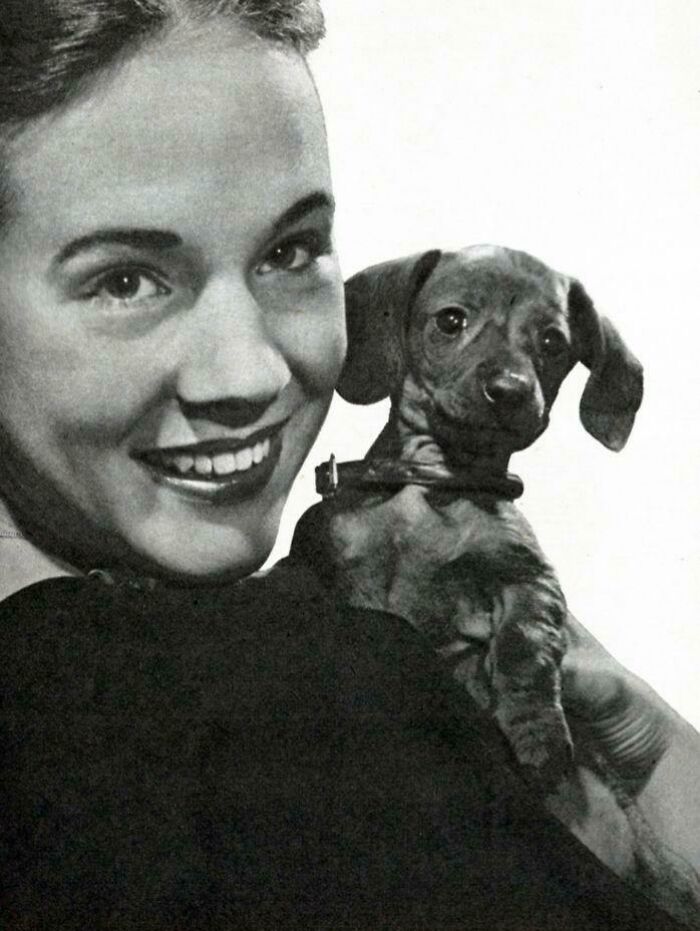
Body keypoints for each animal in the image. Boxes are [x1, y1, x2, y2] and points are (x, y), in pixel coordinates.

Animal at [292, 244, 644, 792]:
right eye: (451, 320)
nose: (511, 388)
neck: (438, 485)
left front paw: (537, 732)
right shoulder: (335, 562)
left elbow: (525, 648)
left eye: (553, 342)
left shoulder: (528, 578)